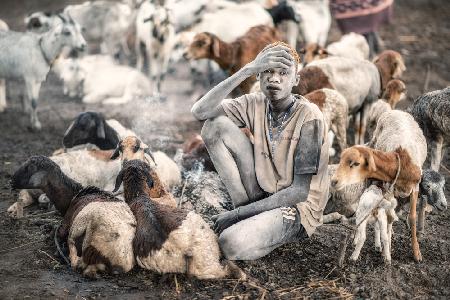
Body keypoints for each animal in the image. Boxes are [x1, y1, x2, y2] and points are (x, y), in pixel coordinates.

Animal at [332, 109, 428, 262]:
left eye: (356, 163)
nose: (334, 181)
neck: (402, 161)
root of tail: (396, 110)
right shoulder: (388, 187)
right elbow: (386, 215)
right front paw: (385, 250)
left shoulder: (415, 187)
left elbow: (412, 217)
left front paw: (417, 253)